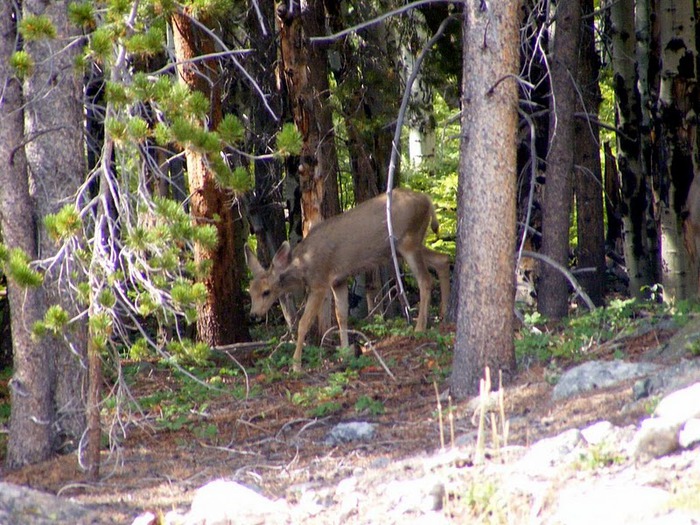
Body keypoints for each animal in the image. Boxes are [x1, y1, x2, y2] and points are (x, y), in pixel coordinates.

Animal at [246, 188, 452, 372]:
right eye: (250, 292)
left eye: (266, 291)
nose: (254, 314)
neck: (304, 265)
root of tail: (427, 199)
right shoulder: (338, 280)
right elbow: (341, 315)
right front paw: (345, 351)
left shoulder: (320, 283)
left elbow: (304, 323)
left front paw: (296, 365)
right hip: (409, 245)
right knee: (443, 259)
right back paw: (443, 314)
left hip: (409, 240)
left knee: (425, 280)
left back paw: (420, 327)